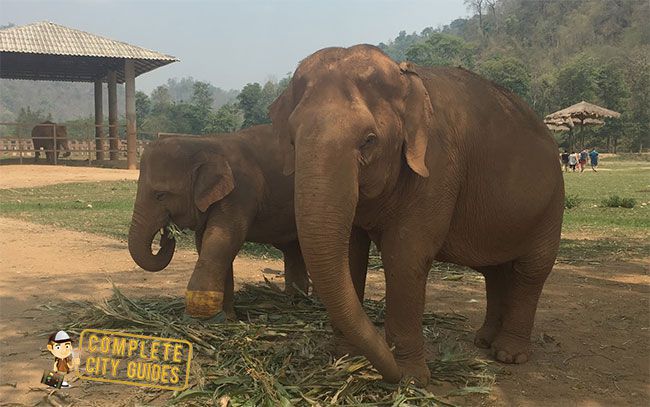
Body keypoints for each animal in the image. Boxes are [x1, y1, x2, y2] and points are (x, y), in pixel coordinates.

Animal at [127, 124, 310, 319]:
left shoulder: (240, 192)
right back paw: (296, 301)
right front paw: (227, 317)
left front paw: (200, 318)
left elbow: (221, 239)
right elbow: (205, 242)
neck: (205, 143)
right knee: (293, 249)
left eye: (160, 195)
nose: (166, 237)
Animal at [269, 45, 564, 384]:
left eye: (369, 140)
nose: (390, 370)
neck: (405, 78)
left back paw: (508, 355)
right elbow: (350, 254)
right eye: (292, 140)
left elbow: (405, 256)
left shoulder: (437, 167)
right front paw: (345, 358)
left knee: (532, 270)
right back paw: (484, 341)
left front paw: (410, 379)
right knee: (495, 271)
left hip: (552, 204)